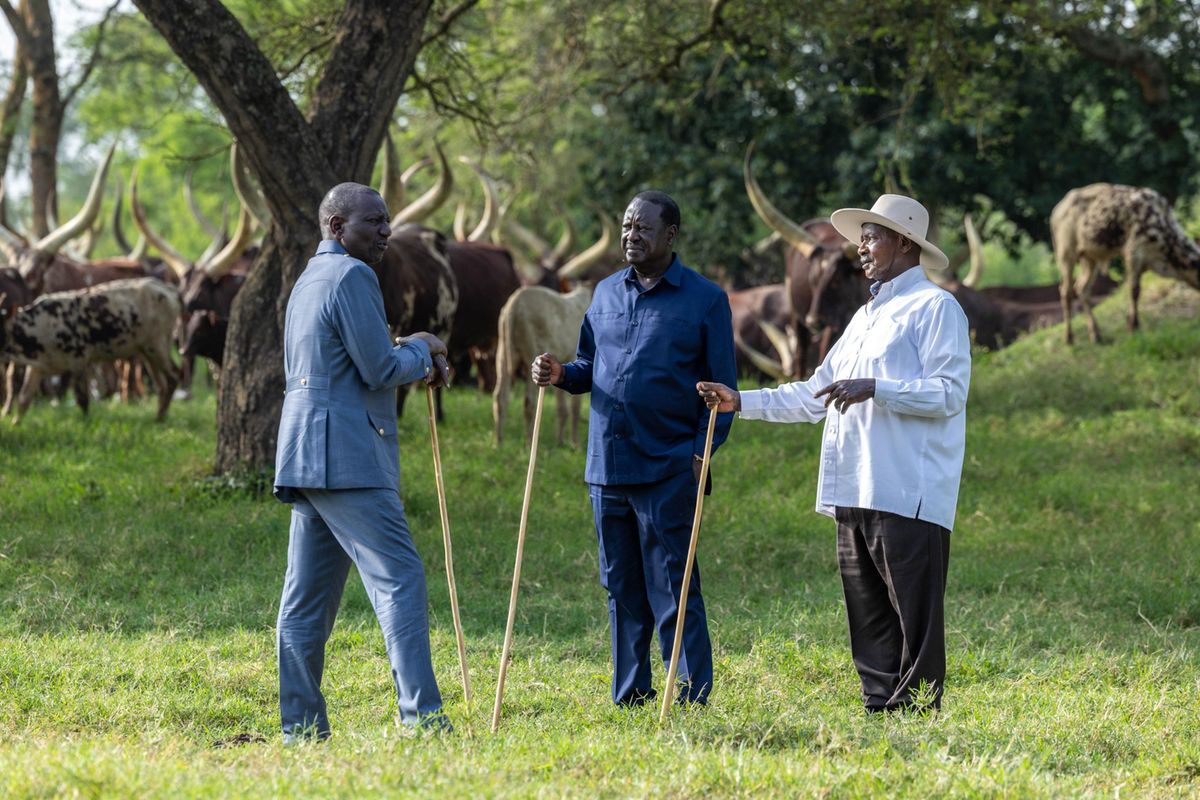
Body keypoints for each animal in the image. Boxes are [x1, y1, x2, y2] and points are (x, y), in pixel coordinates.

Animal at [0, 278, 182, 422]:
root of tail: (165, 287)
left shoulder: (79, 360)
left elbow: (82, 399)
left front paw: (86, 423)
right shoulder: (37, 367)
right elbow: (24, 398)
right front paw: (15, 423)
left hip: (157, 345)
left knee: (173, 376)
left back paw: (160, 417)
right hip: (147, 351)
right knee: (161, 385)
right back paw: (159, 414)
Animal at [1051, 181, 1200, 345]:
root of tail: (1057, 209)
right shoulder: (1133, 253)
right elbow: (1134, 290)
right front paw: (1133, 327)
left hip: (1090, 258)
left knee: (1082, 288)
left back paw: (1096, 334)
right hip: (1066, 253)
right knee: (1066, 291)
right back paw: (1068, 338)